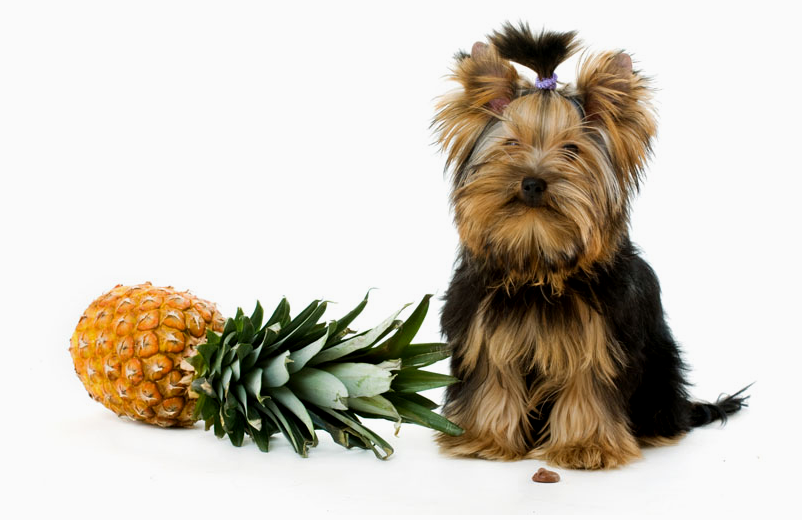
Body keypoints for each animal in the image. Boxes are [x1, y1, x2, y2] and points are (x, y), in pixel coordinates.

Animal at [434, 24, 748, 470]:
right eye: (511, 144)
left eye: (571, 150)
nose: (532, 182)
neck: (539, 263)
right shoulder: (485, 332)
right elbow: (492, 379)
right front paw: (485, 438)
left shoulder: (601, 339)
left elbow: (589, 386)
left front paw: (585, 446)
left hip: (660, 371)